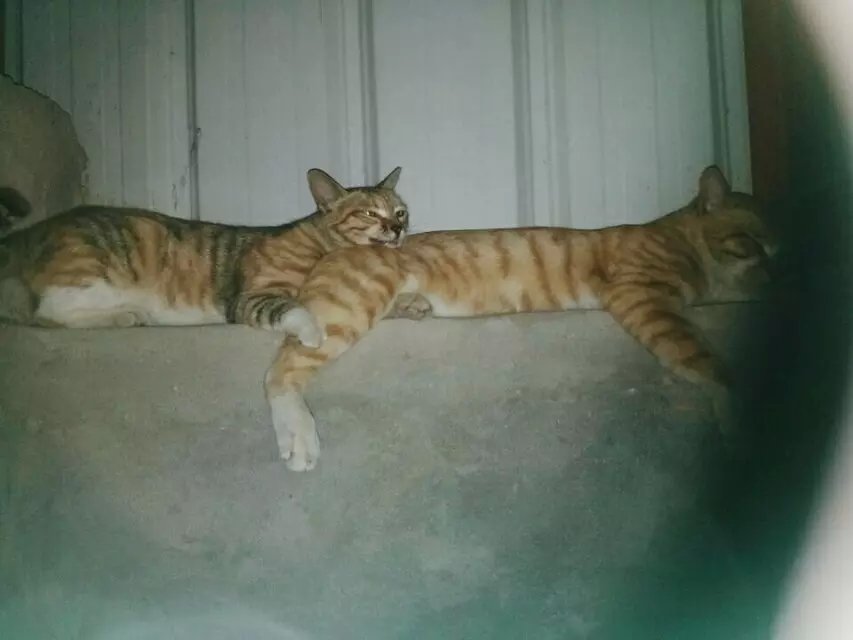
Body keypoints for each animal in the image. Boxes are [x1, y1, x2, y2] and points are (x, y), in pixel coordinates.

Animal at [0, 167, 407, 341]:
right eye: (369, 213)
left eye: (401, 211)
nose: (398, 227)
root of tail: (34, 232)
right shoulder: (254, 298)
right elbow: (296, 311)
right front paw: (312, 334)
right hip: (95, 273)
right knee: (47, 313)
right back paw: (127, 315)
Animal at [263, 166, 778, 471]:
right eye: (752, 241)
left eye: (780, 244)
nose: (780, 273)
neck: (688, 247)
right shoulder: (644, 297)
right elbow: (706, 360)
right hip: (342, 315)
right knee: (281, 370)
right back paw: (299, 437)